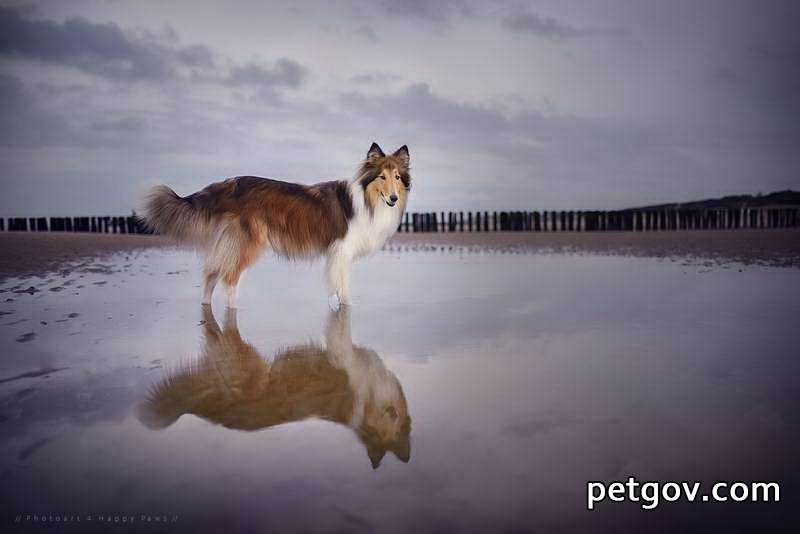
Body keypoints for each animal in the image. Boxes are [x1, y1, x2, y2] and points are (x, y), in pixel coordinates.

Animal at [142, 143, 412, 310]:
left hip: (228, 243)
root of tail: (228, 184)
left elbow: (334, 284)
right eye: (382, 177)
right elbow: (342, 285)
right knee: (229, 278)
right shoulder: (342, 250)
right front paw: (348, 307)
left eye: (398, 177)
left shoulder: (336, 253)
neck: (367, 200)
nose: (393, 199)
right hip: (248, 243)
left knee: (211, 274)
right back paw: (234, 312)